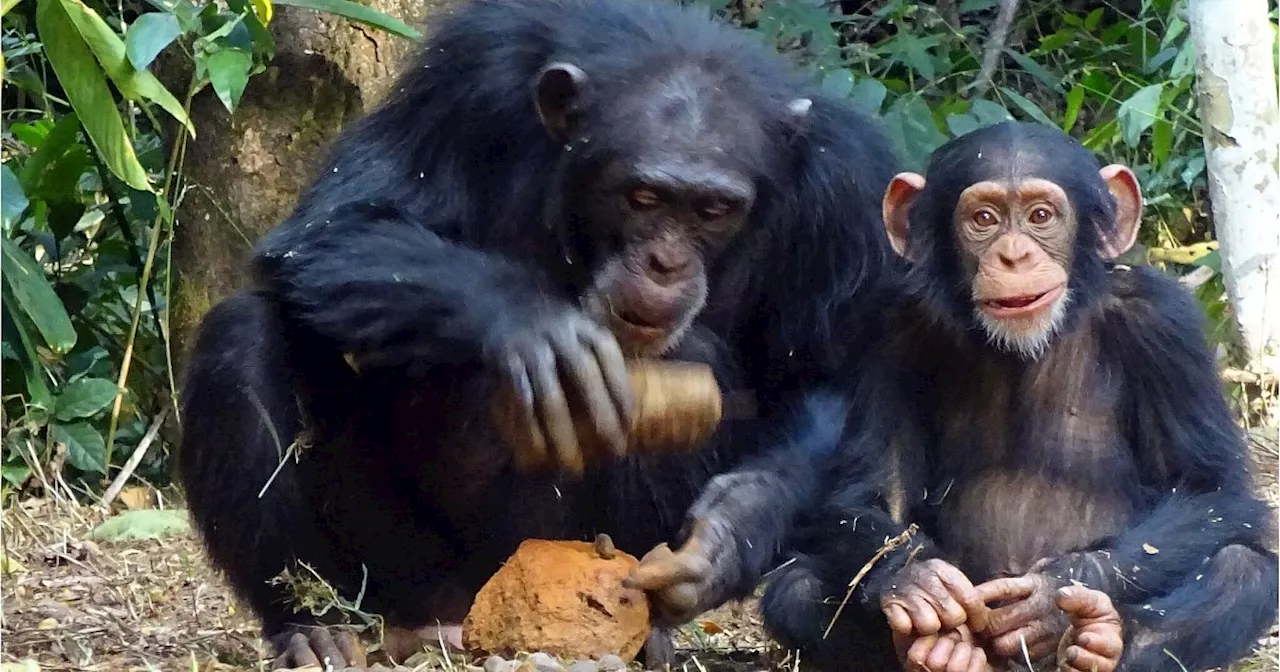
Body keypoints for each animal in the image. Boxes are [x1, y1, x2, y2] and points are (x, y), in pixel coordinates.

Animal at [177, 0, 901, 665]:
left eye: (714, 210)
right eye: (642, 197)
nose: (665, 264)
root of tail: (456, 620)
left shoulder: (844, 188)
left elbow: (823, 378)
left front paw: (727, 535)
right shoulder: (467, 78)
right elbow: (335, 226)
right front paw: (534, 328)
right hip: (393, 569)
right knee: (242, 337)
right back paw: (311, 625)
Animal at [757, 121, 1280, 670]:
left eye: (1041, 216)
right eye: (983, 219)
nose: (1014, 255)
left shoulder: (1164, 323)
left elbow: (1209, 488)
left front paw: (1051, 595)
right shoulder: (888, 324)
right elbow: (870, 489)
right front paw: (916, 577)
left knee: (1243, 570)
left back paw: (1102, 638)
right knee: (794, 587)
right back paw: (942, 651)